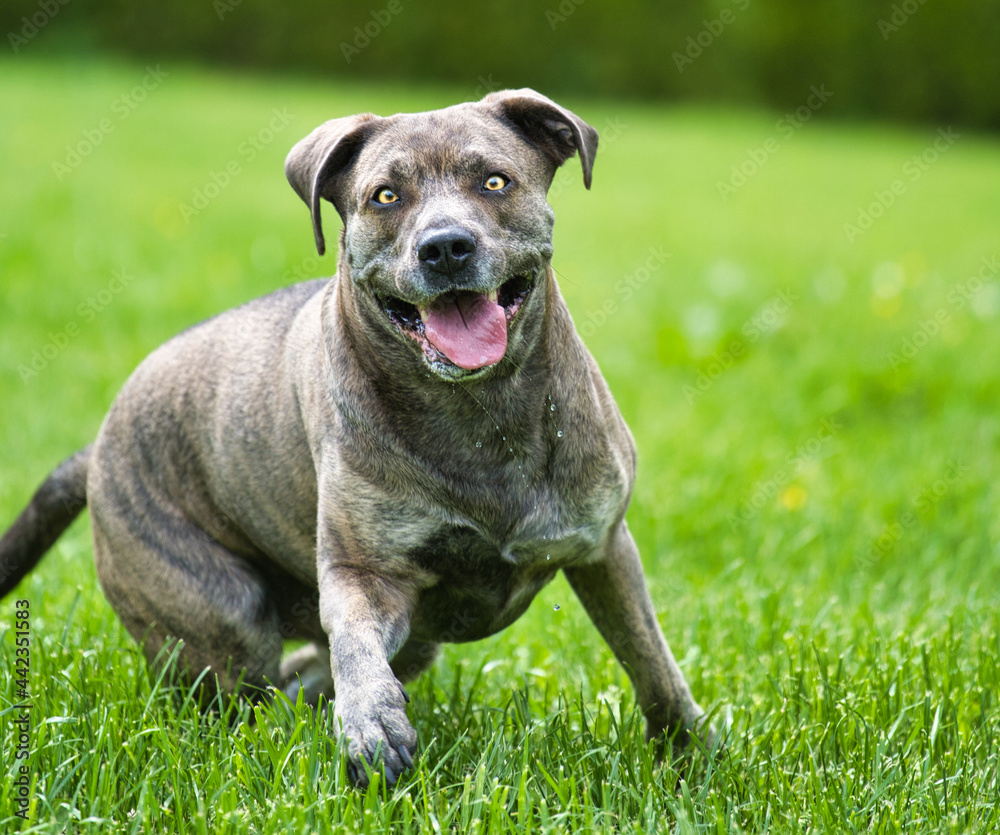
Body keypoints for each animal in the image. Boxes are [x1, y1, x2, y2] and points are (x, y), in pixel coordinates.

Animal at [3, 91, 716, 792]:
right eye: (385, 196)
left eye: (495, 181)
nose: (445, 247)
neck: (479, 413)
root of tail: (95, 454)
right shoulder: (363, 572)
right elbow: (354, 641)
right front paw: (373, 725)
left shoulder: (603, 548)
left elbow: (651, 660)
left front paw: (689, 753)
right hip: (219, 615)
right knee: (253, 693)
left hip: (401, 639)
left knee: (300, 683)